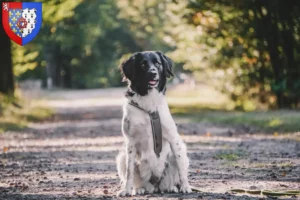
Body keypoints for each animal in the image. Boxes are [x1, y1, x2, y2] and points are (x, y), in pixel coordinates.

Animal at [116, 50, 191, 196]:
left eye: (158, 63)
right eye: (143, 64)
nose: (153, 73)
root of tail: (156, 185)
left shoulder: (174, 138)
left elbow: (181, 168)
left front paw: (185, 186)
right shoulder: (131, 141)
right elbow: (129, 172)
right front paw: (126, 190)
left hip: (181, 151)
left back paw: (172, 187)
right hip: (122, 156)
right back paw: (139, 189)